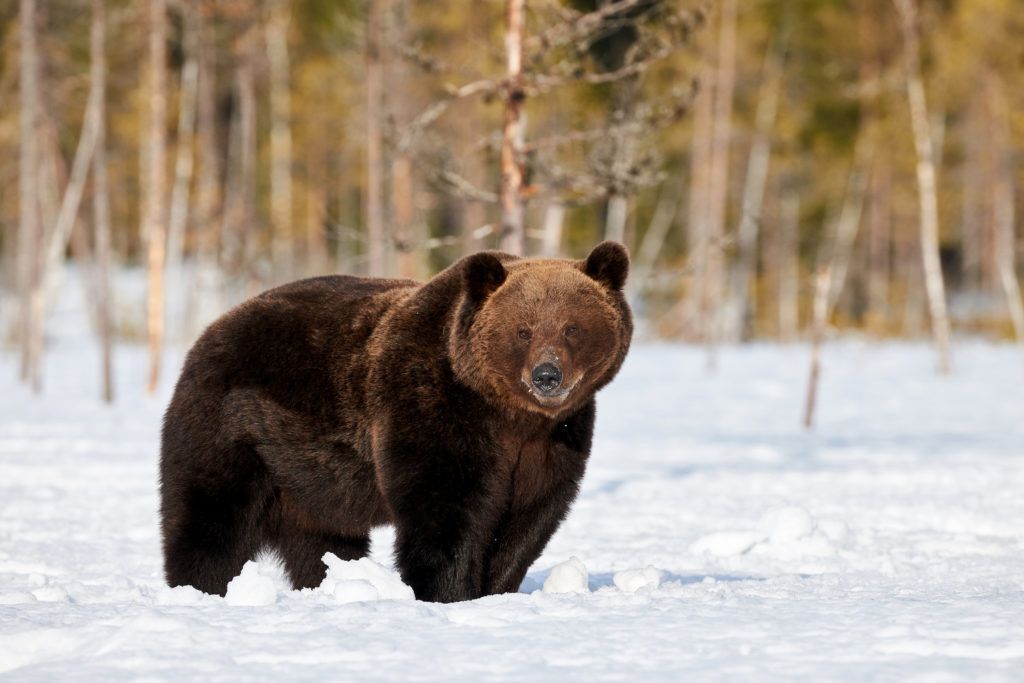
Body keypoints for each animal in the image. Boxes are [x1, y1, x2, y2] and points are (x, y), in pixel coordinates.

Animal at [159, 241, 632, 603]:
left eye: (571, 328)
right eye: (523, 330)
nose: (547, 376)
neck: (510, 416)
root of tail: (210, 330)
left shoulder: (554, 442)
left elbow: (528, 520)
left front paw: (496, 589)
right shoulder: (432, 406)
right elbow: (444, 512)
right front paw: (448, 592)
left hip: (308, 481)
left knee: (322, 540)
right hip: (236, 431)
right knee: (210, 519)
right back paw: (198, 588)